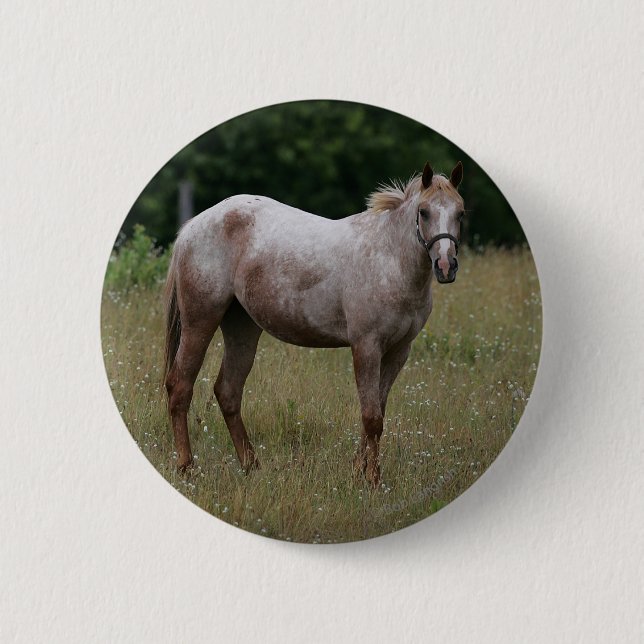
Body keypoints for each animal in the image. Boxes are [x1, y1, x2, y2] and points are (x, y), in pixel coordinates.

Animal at [163, 161, 465, 487]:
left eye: (460, 213)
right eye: (424, 212)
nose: (446, 266)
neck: (390, 260)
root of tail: (192, 226)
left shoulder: (398, 352)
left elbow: (377, 412)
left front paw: (358, 471)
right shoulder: (366, 347)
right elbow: (372, 417)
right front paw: (372, 481)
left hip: (241, 327)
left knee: (228, 392)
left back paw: (251, 466)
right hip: (200, 322)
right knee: (180, 386)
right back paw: (186, 467)